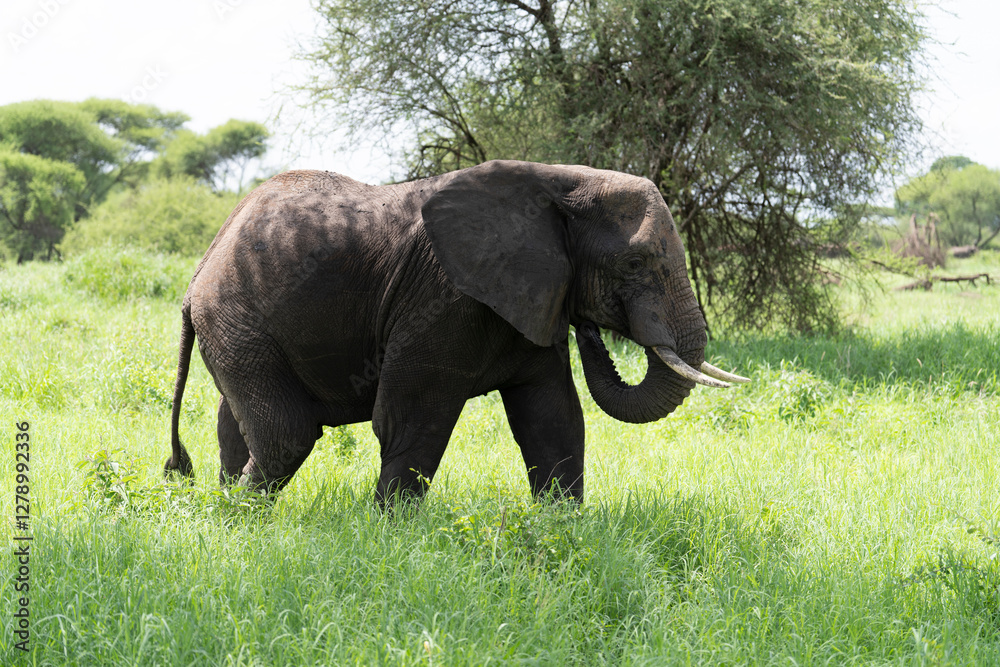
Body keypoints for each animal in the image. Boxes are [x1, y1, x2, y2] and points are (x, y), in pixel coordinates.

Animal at [164, 160, 747, 505]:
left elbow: (553, 417)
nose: (590, 327)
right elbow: (413, 417)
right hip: (238, 319)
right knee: (287, 432)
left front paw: (563, 530)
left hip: (238, 330)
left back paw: (227, 509)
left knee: (234, 427)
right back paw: (239, 519)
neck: (559, 180)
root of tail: (197, 277)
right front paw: (389, 535)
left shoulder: (528, 296)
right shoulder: (444, 298)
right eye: (634, 263)